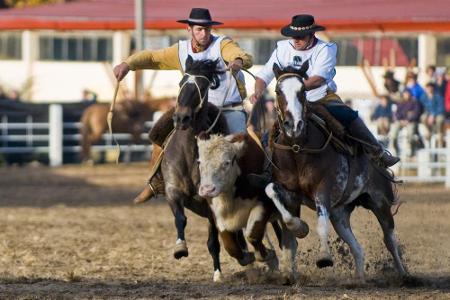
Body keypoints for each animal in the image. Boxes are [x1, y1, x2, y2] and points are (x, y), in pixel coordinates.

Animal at [264, 62, 408, 282]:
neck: (298, 149)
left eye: (302, 91)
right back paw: (359, 280)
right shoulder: (289, 193)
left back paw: (404, 275)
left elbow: (321, 223)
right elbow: (274, 197)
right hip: (340, 214)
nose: (294, 125)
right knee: (357, 248)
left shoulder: (323, 190)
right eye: (278, 91)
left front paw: (324, 257)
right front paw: (300, 229)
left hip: (379, 201)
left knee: (390, 240)